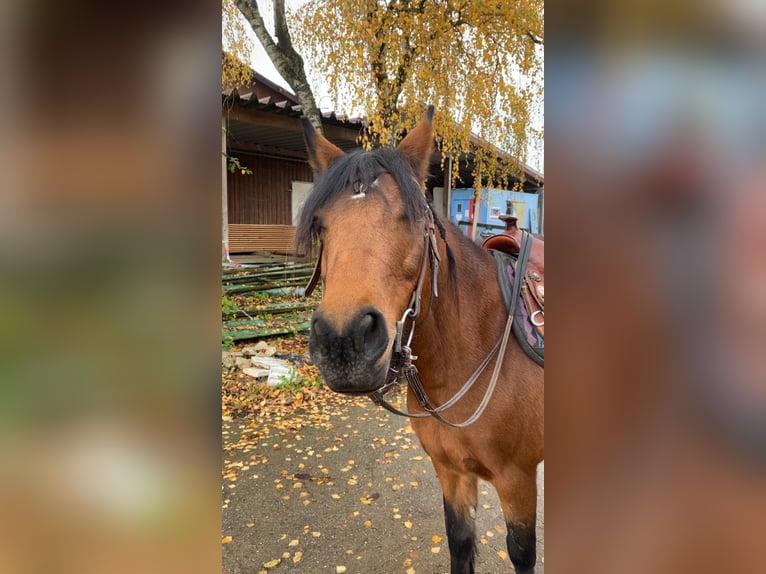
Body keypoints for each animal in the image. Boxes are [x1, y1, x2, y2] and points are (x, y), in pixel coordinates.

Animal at [296, 107, 544, 574]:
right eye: (320, 225)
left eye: (410, 219)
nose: (343, 342)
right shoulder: (451, 472)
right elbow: (460, 543)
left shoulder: (517, 481)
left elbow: (521, 554)